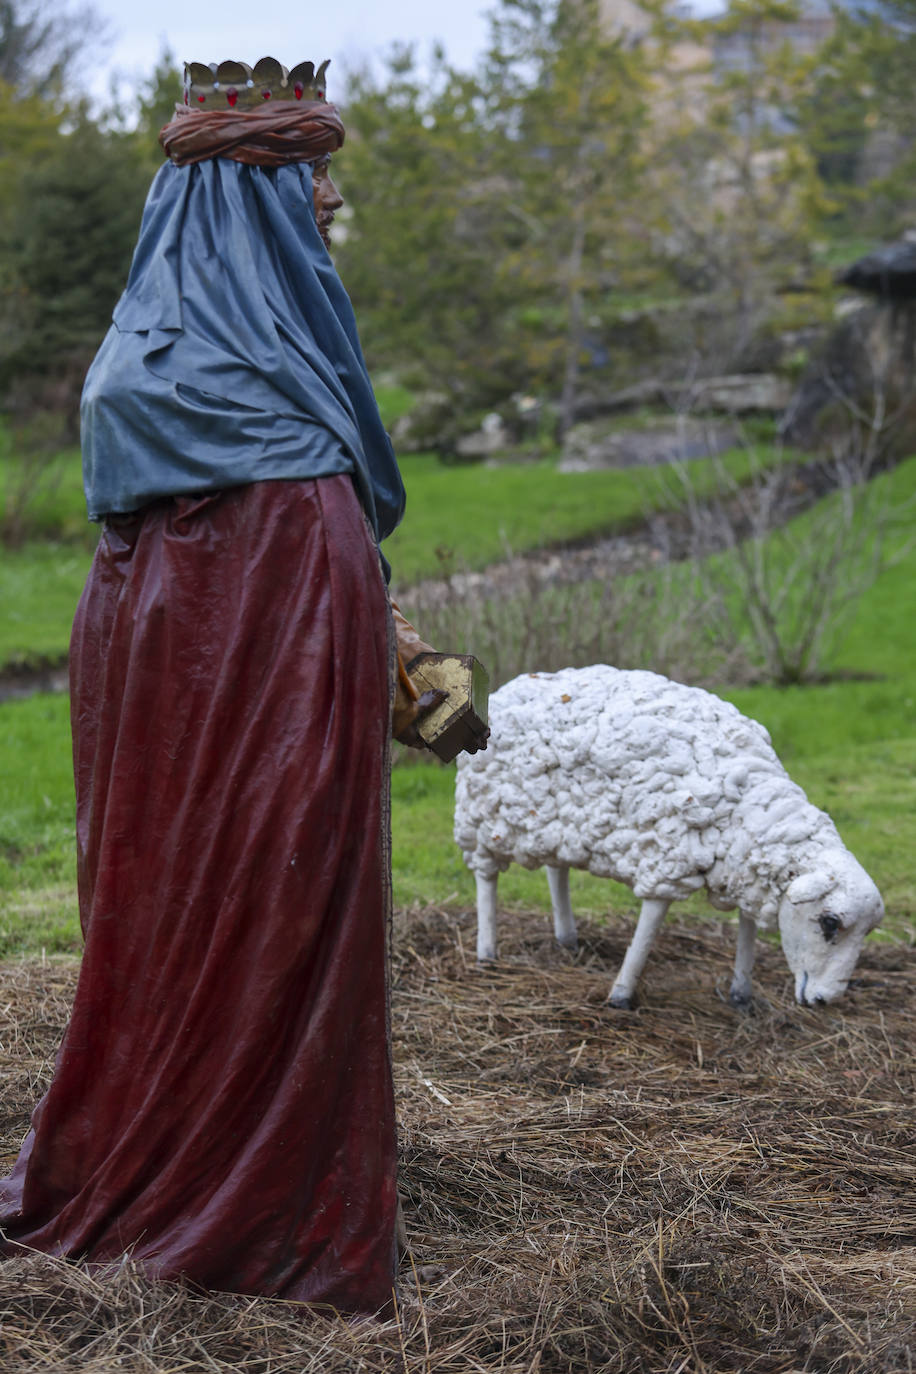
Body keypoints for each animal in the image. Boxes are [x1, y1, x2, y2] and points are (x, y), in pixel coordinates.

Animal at [455, 665, 884, 1011]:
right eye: (829, 923)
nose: (825, 1001)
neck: (750, 802)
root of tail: (513, 684)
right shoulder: (667, 861)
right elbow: (650, 925)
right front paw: (621, 995)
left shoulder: (742, 863)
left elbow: (746, 925)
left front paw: (741, 994)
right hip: (482, 821)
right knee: (486, 880)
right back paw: (487, 953)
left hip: (556, 821)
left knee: (556, 870)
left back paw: (567, 938)